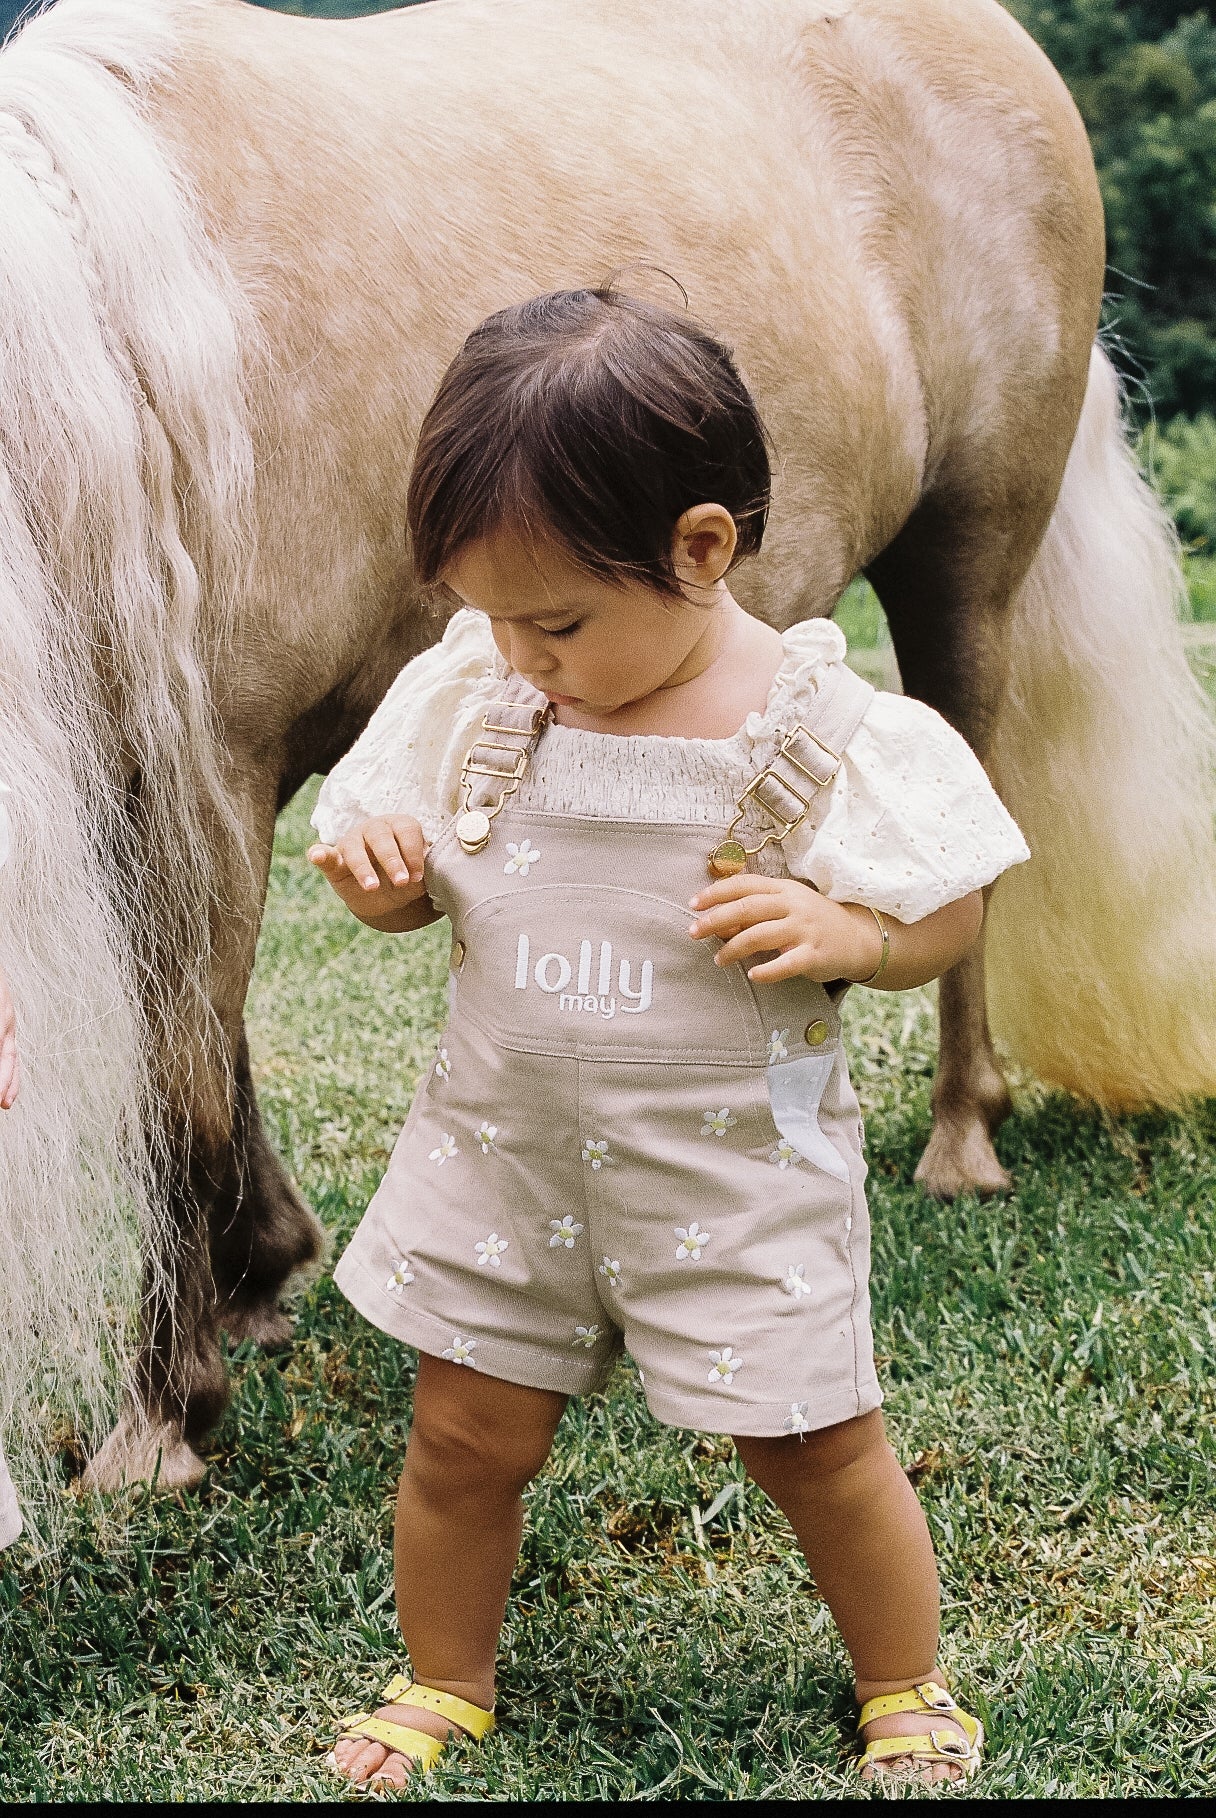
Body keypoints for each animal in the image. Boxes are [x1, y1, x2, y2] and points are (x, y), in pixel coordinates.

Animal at [0, 0, 1212, 1504]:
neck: (107, 357)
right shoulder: (164, 780)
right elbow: (218, 1047)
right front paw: (258, 1279)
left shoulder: (208, 770)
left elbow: (176, 1078)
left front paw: (159, 1419)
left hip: (966, 559)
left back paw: (960, 1138)